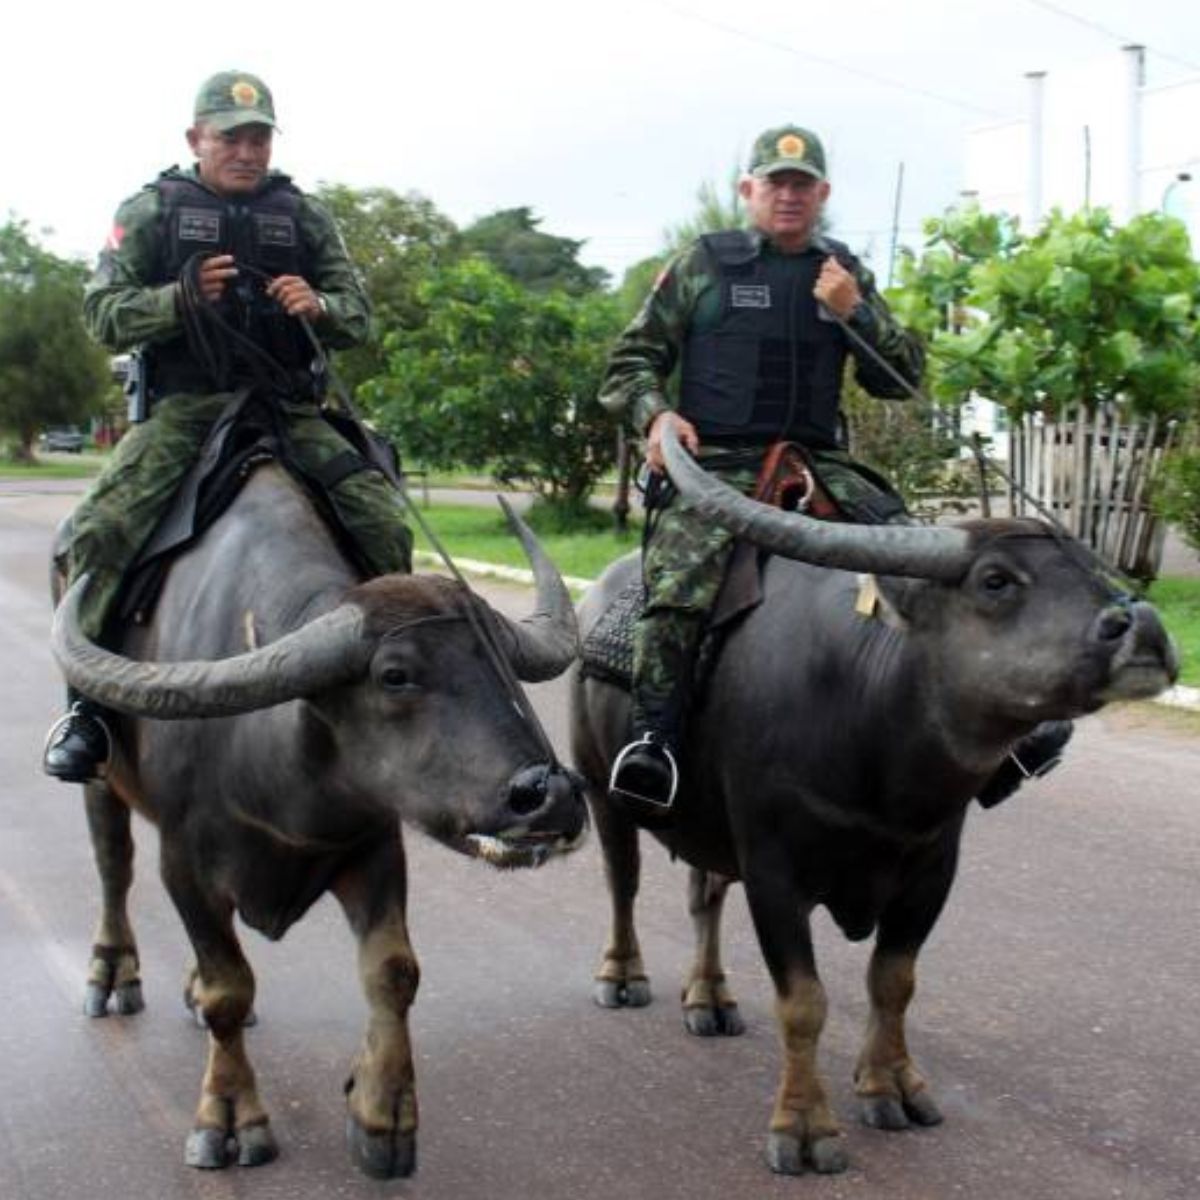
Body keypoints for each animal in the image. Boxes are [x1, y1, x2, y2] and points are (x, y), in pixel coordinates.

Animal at [51, 460, 585, 1180]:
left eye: (502, 662)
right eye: (395, 675)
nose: (551, 793)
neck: (269, 760)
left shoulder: (376, 845)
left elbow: (393, 971)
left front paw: (381, 1112)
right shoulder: (184, 866)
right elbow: (229, 990)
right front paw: (229, 1118)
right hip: (103, 784)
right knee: (113, 867)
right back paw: (112, 975)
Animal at [571, 427, 1180, 1176]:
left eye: (1092, 569)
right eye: (996, 580)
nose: (1142, 625)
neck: (877, 752)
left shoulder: (930, 872)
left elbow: (894, 981)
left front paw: (892, 1085)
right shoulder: (774, 874)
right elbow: (804, 1002)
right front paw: (804, 1127)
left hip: (710, 825)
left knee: (704, 895)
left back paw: (709, 994)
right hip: (603, 789)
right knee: (623, 883)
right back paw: (623, 974)